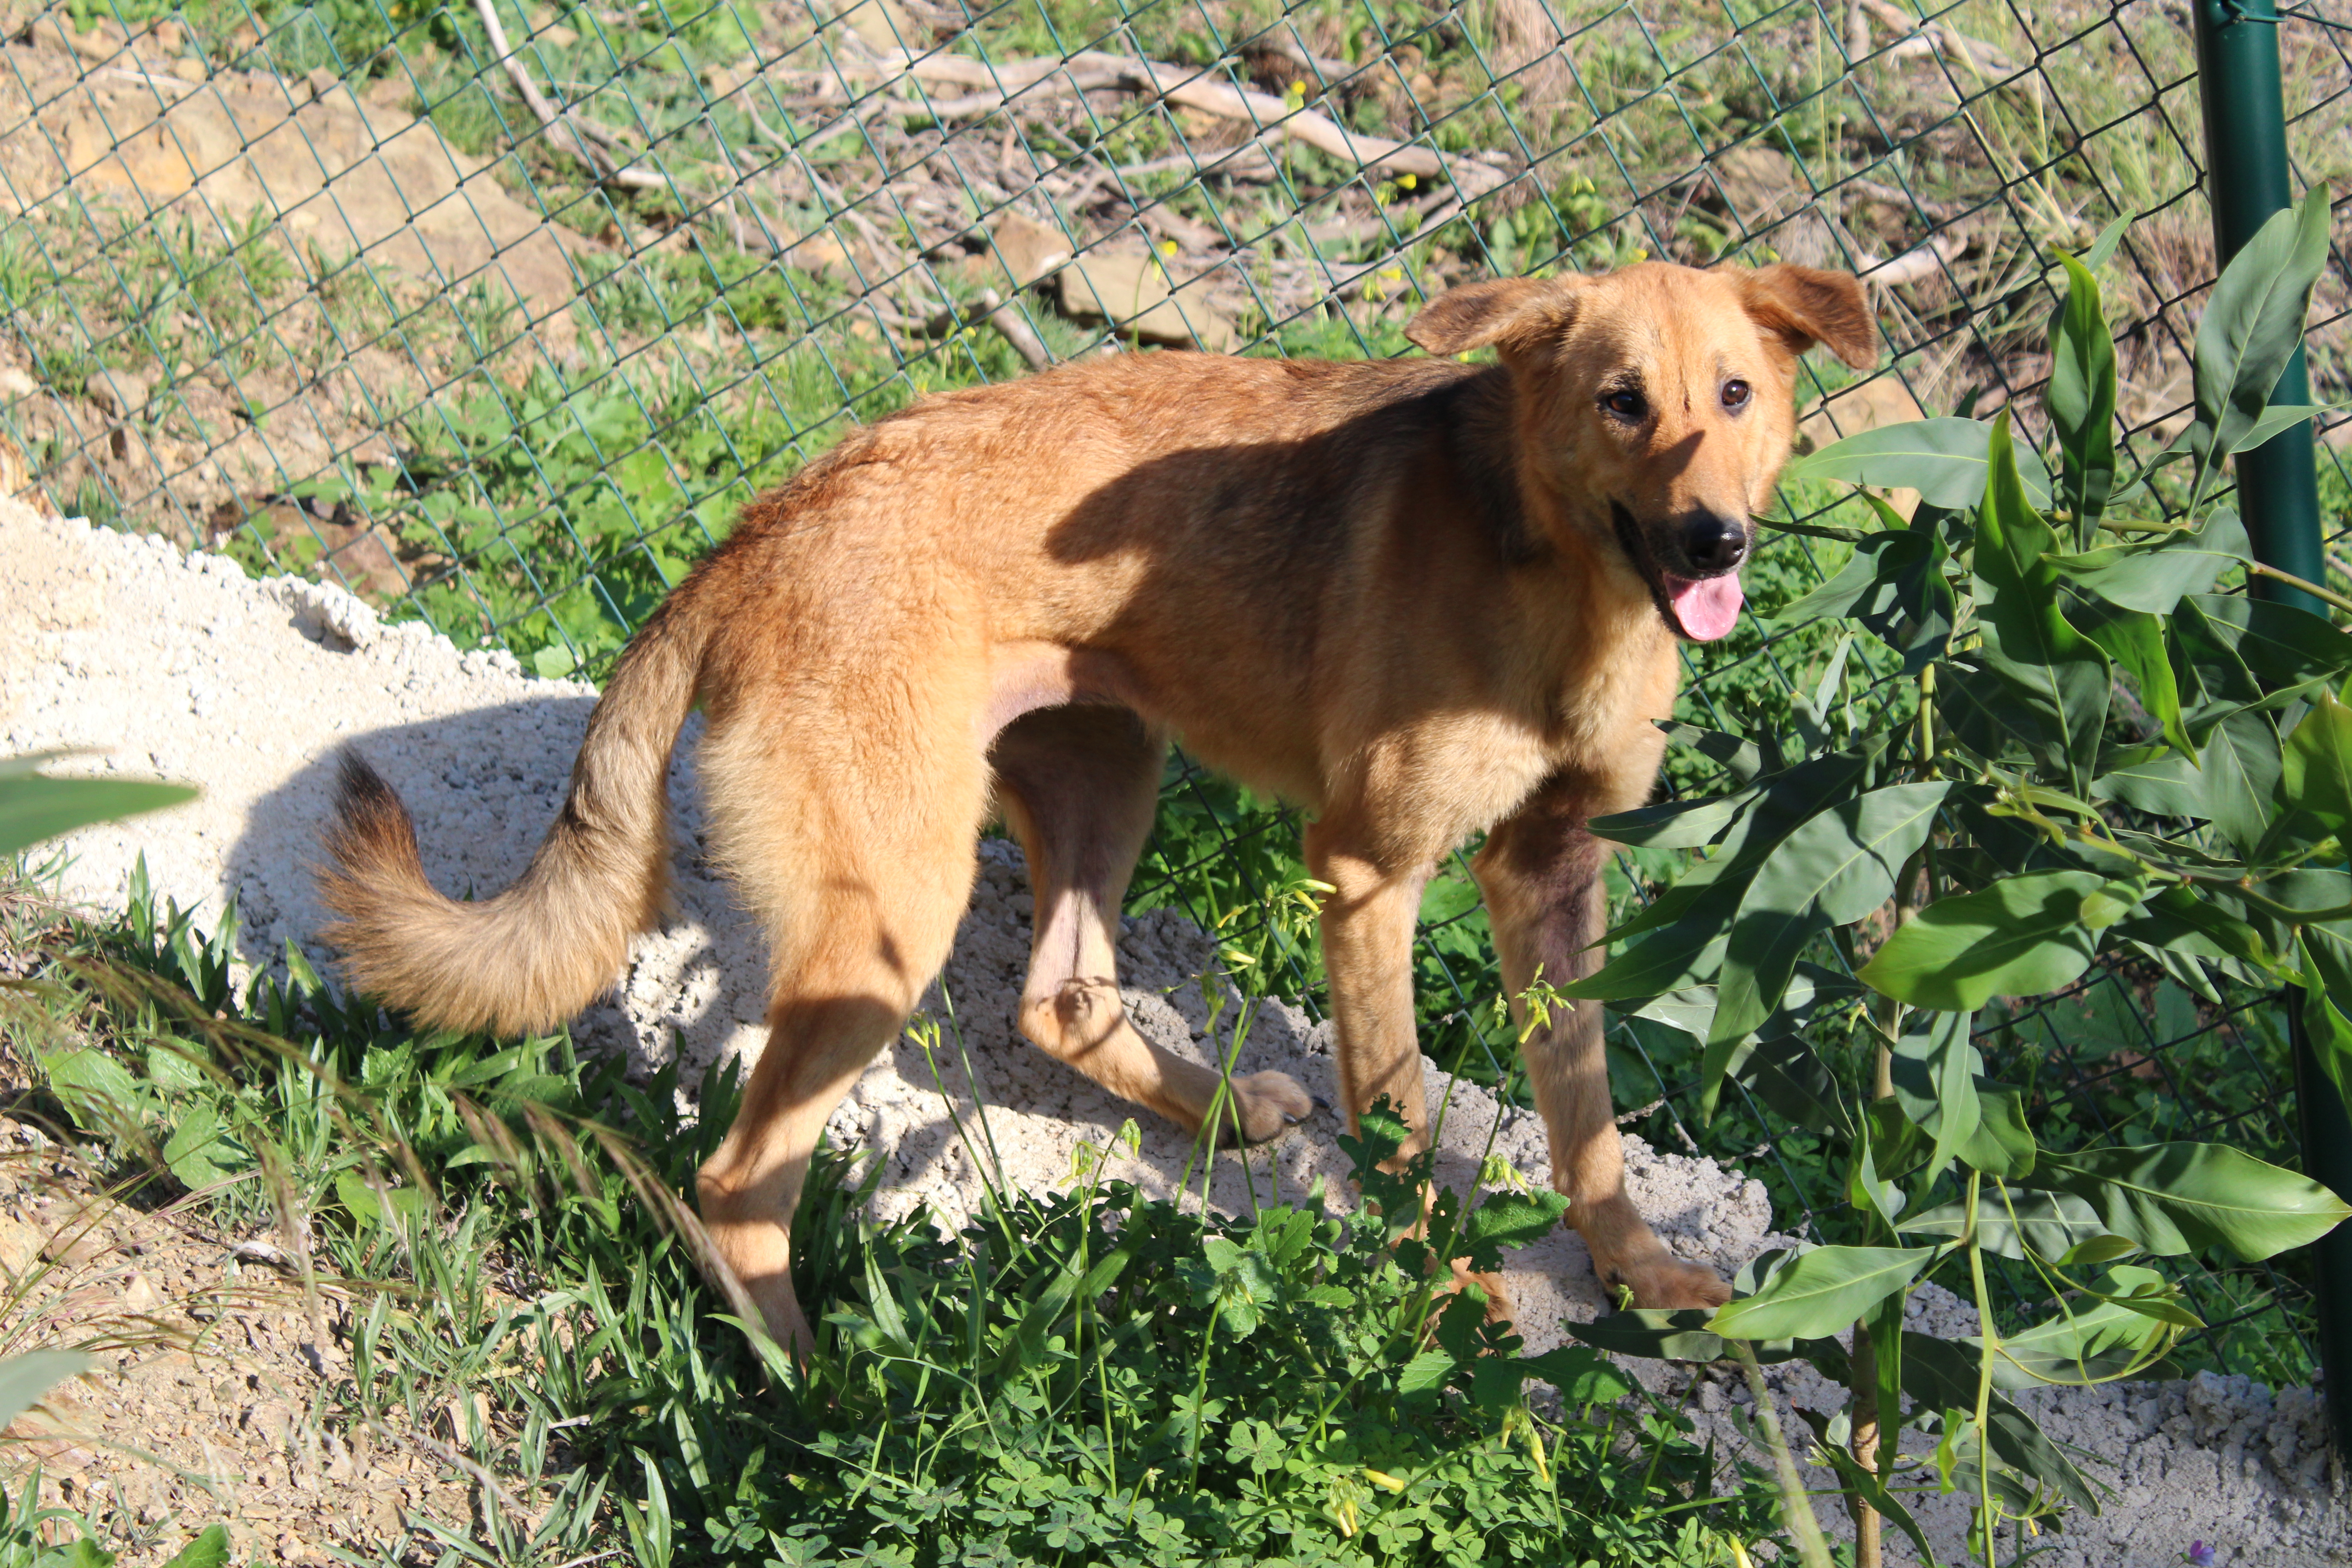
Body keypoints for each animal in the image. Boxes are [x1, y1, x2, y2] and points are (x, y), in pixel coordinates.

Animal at [327, 257, 1872, 1354]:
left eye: (1736, 395)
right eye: (1622, 399)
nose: (1712, 541)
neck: (1556, 577)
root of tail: (760, 528)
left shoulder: (1553, 872)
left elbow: (1588, 1111)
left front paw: (1637, 1268)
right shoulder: (1368, 872)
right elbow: (1400, 1125)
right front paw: (1445, 1303)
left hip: (1106, 774)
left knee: (1059, 999)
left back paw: (1220, 1115)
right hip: (896, 913)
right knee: (739, 1182)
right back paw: (814, 1389)